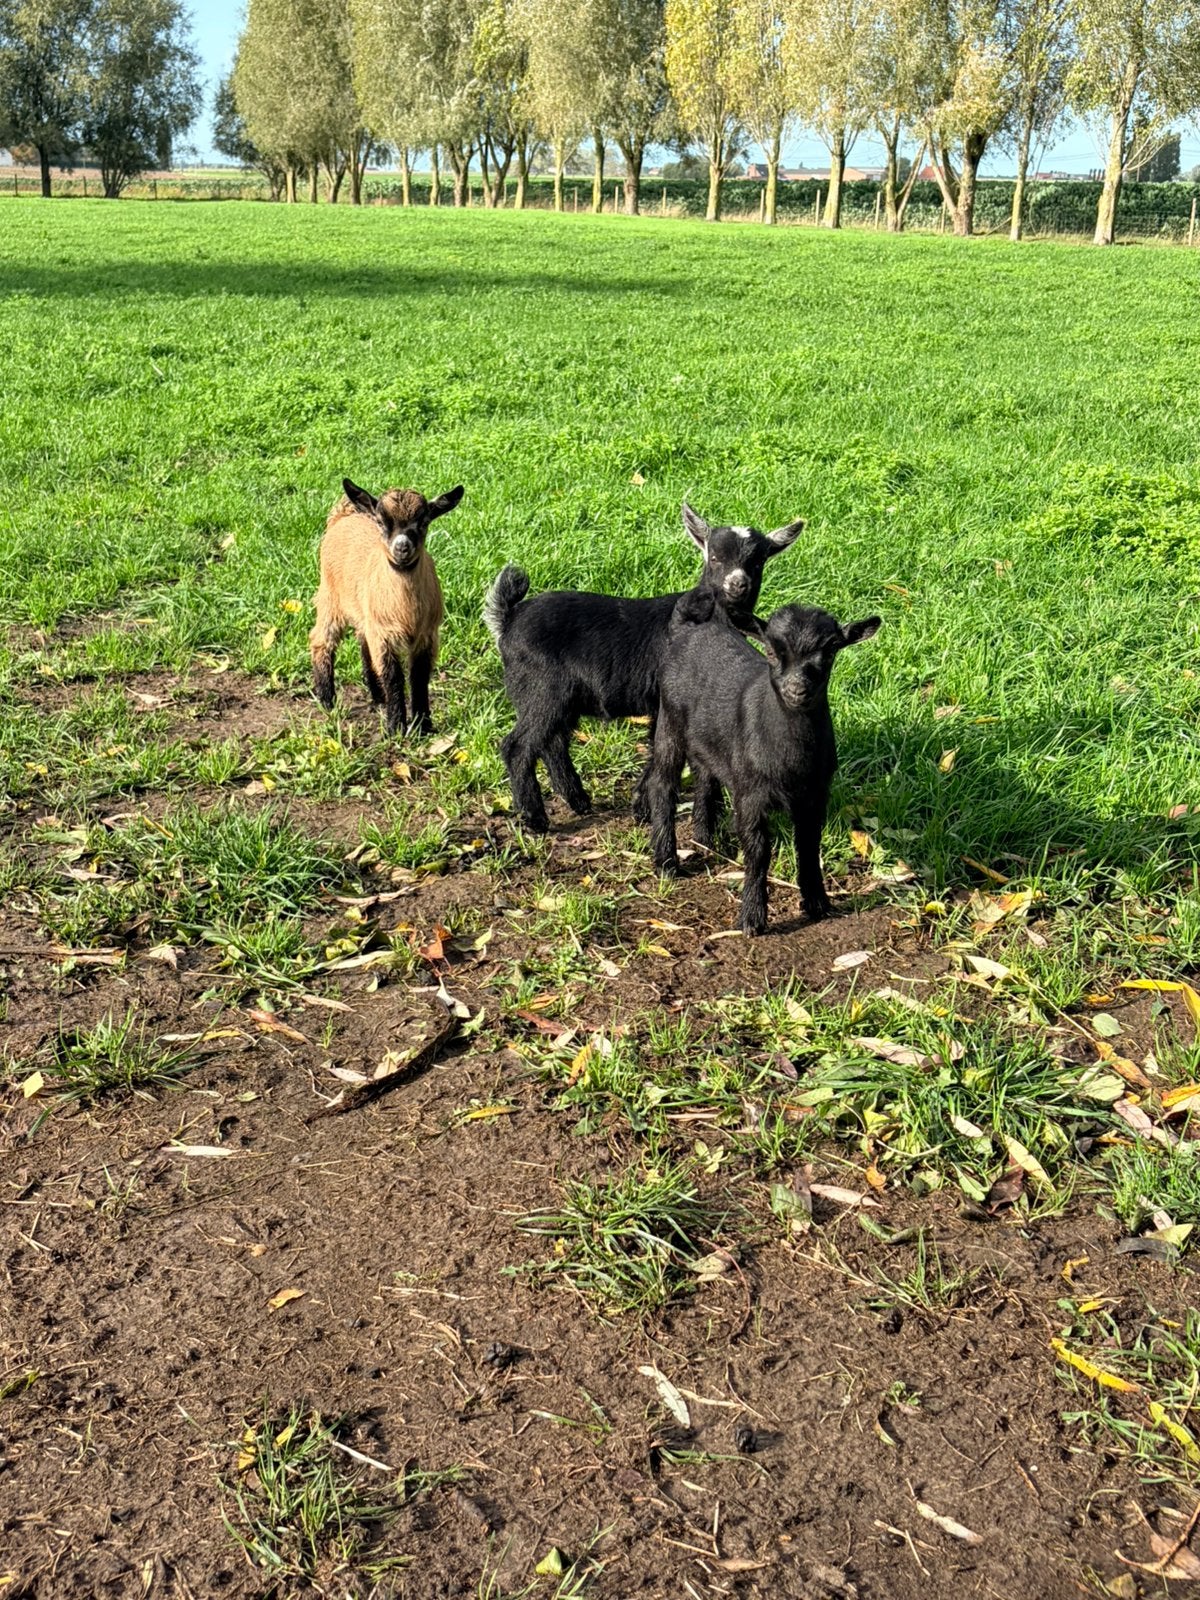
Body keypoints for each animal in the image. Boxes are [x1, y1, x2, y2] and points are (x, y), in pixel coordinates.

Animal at [310, 478, 464, 735]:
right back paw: (327, 702)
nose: (402, 548)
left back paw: (377, 696)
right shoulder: (383, 634)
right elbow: (394, 676)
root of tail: (342, 516)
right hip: (330, 598)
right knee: (321, 640)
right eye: (382, 522)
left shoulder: (427, 635)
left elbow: (419, 677)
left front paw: (423, 725)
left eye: (423, 522)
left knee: (363, 644)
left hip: (364, 614)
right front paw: (396, 727)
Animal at [483, 502, 805, 832]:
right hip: (543, 691)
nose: (737, 584)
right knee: (518, 746)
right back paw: (535, 818)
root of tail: (507, 620)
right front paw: (645, 808)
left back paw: (577, 800)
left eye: (757, 562)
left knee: (553, 742)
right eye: (714, 558)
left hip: (560, 699)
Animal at [646, 598, 880, 935]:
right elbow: (758, 851)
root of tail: (689, 628)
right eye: (770, 650)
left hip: (707, 737)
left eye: (831, 650)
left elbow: (809, 844)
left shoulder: (815, 794)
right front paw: (752, 918)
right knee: (662, 785)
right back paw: (666, 862)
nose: (797, 690)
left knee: (705, 774)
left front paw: (817, 903)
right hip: (669, 720)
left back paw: (705, 838)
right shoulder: (750, 795)